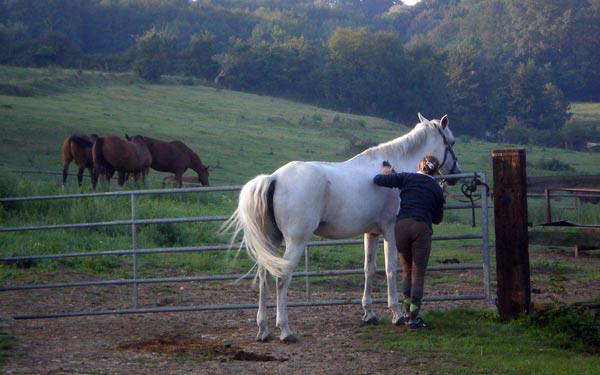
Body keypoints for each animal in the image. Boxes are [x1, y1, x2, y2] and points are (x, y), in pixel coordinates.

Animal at [223, 113, 462, 342]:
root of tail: (274, 178)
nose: (456, 175)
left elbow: (369, 269)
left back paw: (263, 330)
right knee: (281, 278)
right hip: (295, 241)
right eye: (451, 141)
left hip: (271, 241)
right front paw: (397, 315)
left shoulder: (371, 233)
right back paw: (285, 331)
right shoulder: (390, 230)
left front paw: (369, 314)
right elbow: (390, 269)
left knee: (263, 277)